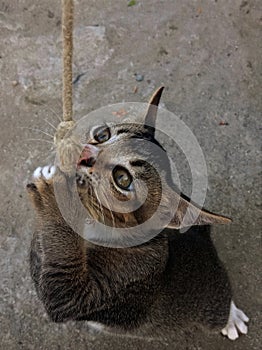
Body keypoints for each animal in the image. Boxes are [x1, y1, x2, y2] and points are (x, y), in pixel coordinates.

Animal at [27, 87, 250, 342]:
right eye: (102, 134)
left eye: (123, 178)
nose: (83, 153)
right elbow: (41, 259)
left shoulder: (119, 281)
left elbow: (60, 289)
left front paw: (54, 197)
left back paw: (231, 317)